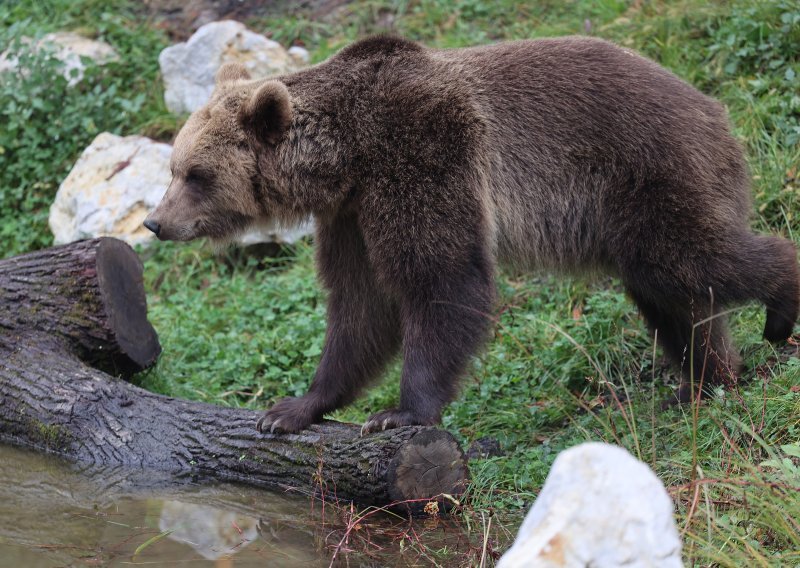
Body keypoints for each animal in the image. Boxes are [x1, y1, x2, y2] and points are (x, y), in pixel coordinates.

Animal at [145, 34, 800, 434]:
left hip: (648, 171)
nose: (156, 222)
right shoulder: (352, 215)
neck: (346, 155)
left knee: (692, 258)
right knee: (671, 293)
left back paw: (778, 310)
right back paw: (704, 378)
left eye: (197, 174)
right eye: (173, 168)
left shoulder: (424, 154)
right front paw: (293, 407)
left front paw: (402, 413)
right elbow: (359, 305)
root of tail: (716, 111)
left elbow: (442, 278)